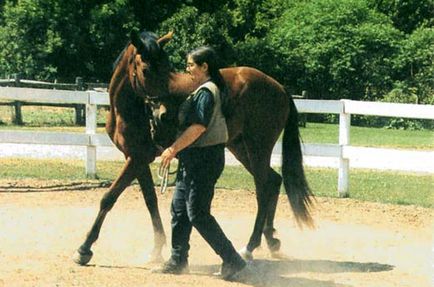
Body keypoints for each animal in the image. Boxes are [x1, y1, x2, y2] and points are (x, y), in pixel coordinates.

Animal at [73, 29, 312, 266]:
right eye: (146, 69)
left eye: (167, 67)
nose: (163, 114)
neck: (132, 108)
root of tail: (279, 87)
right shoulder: (134, 158)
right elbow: (150, 200)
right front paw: (157, 248)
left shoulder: (139, 158)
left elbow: (109, 198)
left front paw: (84, 248)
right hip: (241, 148)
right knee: (273, 181)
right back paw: (271, 240)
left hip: (257, 148)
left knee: (263, 190)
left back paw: (249, 247)